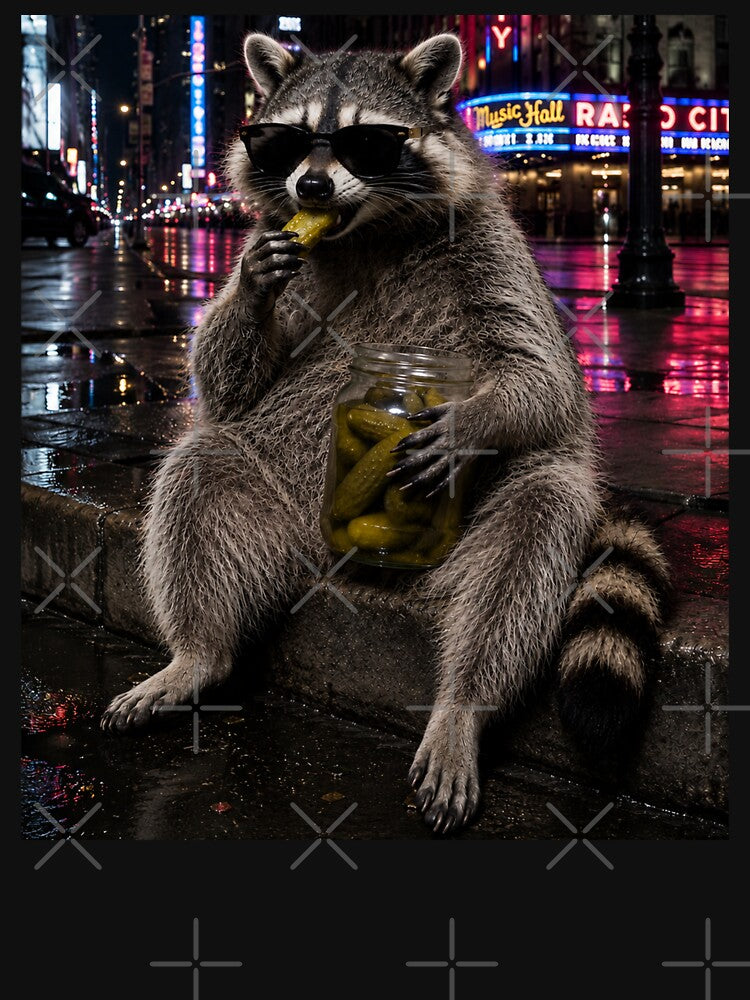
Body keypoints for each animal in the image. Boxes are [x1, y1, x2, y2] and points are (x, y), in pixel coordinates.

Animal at [102, 33, 668, 834]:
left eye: (367, 142)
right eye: (286, 141)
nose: (310, 188)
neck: (364, 229)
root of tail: (340, 558)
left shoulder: (492, 250)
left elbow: (544, 378)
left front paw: (469, 421)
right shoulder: (280, 251)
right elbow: (226, 384)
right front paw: (251, 291)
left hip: (473, 527)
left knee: (535, 523)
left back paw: (464, 702)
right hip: (285, 498)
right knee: (201, 470)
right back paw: (198, 653)